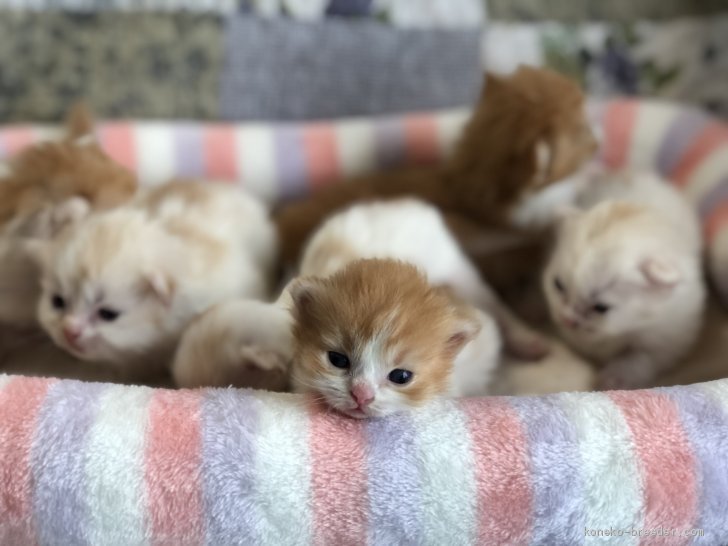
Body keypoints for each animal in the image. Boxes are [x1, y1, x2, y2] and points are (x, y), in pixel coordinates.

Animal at [540, 169, 704, 386]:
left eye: (601, 308)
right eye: (558, 285)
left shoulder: (670, 333)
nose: (567, 321)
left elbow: (643, 356)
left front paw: (615, 378)